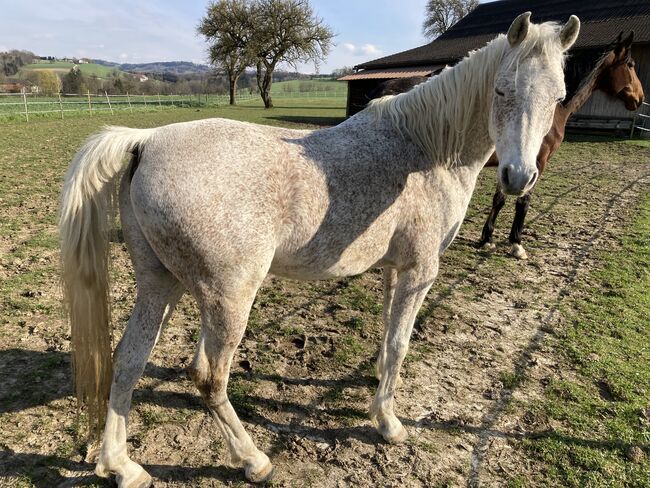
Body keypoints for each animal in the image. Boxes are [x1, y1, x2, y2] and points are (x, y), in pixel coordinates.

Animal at [59, 12, 576, 488]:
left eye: (557, 98)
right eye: (503, 91)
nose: (518, 177)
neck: (426, 148)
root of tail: (146, 141)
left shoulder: (394, 269)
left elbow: (387, 334)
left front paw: (376, 387)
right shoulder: (419, 272)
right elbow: (401, 341)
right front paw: (389, 423)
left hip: (159, 283)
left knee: (128, 359)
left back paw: (122, 467)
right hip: (228, 298)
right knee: (208, 376)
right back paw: (253, 460)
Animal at [478, 30, 640, 258]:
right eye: (631, 65)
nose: (640, 97)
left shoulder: (511, 167)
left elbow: (499, 199)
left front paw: (487, 238)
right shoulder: (536, 163)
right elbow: (523, 201)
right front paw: (516, 244)